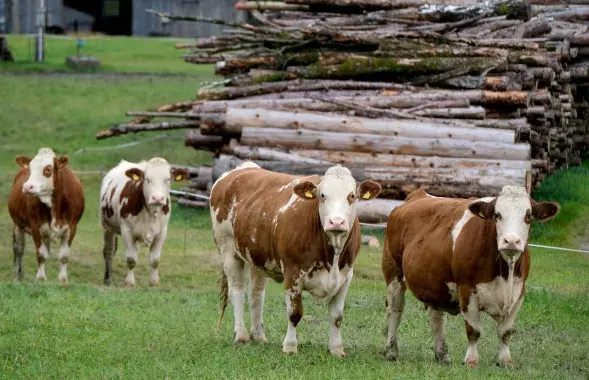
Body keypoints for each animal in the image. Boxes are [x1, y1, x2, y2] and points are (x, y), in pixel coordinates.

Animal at [8, 147, 85, 284]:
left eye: (48, 169)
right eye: (30, 169)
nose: (27, 186)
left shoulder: (72, 227)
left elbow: (64, 256)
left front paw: (63, 280)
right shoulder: (35, 227)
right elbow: (41, 255)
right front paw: (41, 278)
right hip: (18, 225)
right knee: (19, 249)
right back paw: (17, 276)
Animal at [210, 163, 382, 356]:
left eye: (351, 196)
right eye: (322, 196)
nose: (336, 222)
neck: (332, 257)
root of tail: (243, 167)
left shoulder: (346, 276)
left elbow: (337, 316)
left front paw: (337, 349)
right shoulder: (292, 273)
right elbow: (294, 313)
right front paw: (290, 347)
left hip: (258, 257)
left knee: (256, 293)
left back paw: (259, 336)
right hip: (227, 249)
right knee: (237, 291)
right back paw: (241, 336)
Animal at [384, 186, 560, 366]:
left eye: (528, 216)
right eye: (497, 215)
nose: (511, 241)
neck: (505, 274)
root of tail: (417, 195)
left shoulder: (519, 293)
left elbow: (505, 331)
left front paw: (505, 360)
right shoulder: (467, 291)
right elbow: (474, 330)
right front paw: (471, 360)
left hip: (436, 283)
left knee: (437, 319)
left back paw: (442, 355)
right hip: (393, 271)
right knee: (395, 309)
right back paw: (391, 351)